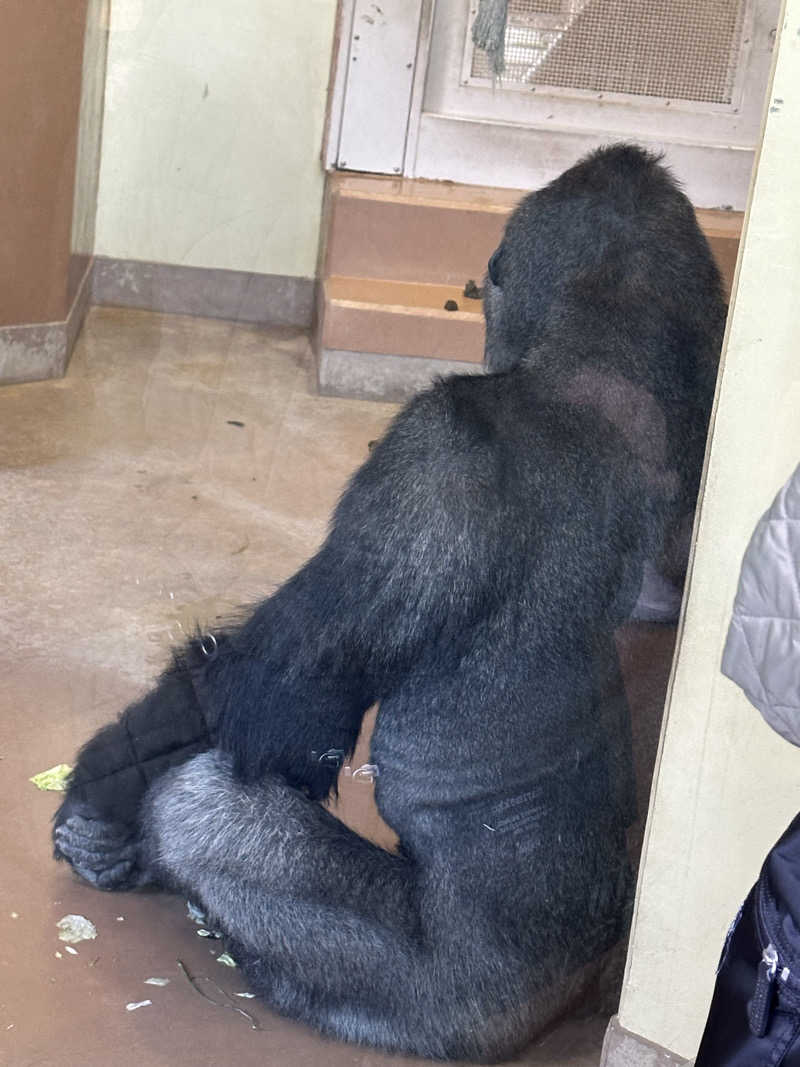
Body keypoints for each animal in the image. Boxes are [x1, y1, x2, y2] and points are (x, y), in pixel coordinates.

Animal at [50, 146, 725, 1062]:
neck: (615, 364)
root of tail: (581, 991)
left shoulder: (434, 445)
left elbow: (277, 702)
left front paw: (99, 786)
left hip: (455, 1007)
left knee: (202, 807)